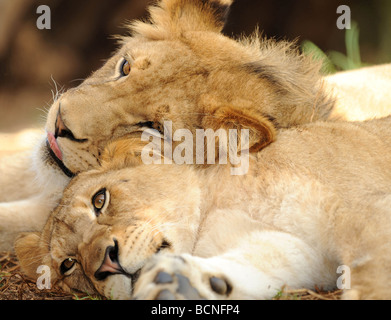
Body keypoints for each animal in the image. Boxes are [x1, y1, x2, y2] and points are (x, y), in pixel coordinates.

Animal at [15, 115, 391, 300]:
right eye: (69, 264)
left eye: (99, 200)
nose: (106, 264)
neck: (215, 203)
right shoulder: (293, 247)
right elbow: (255, 265)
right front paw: (179, 283)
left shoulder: (364, 208)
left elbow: (373, 270)